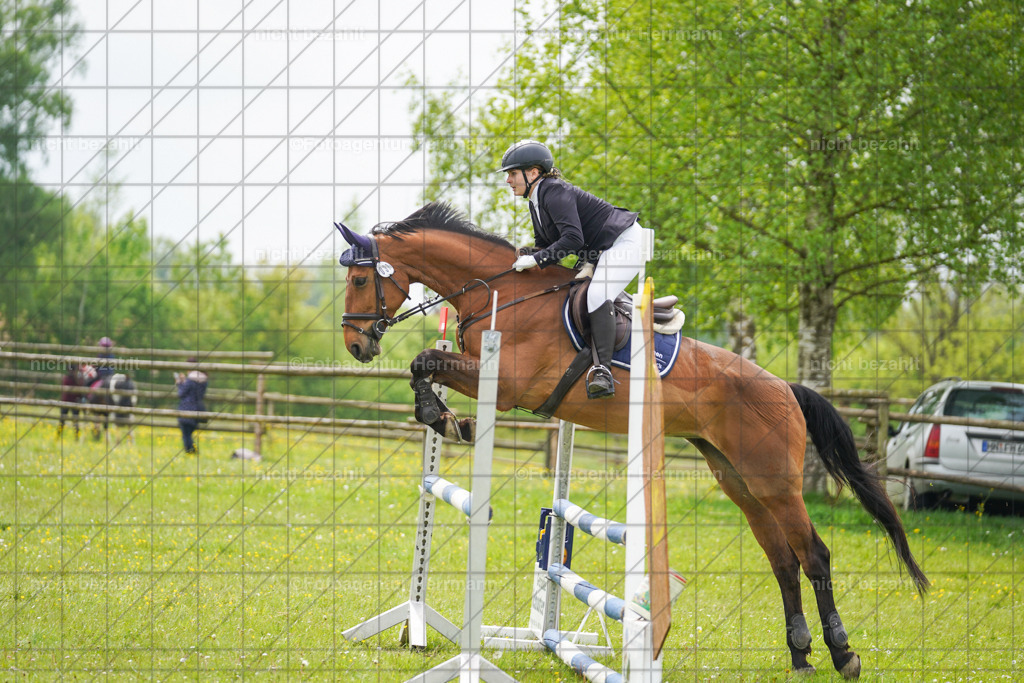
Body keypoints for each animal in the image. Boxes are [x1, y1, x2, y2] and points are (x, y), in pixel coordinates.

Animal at [336, 202, 928, 679]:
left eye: (362, 281)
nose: (356, 345)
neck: (502, 293)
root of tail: (785, 386)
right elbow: (423, 364)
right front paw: (442, 419)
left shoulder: (504, 385)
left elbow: (424, 360)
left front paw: (446, 420)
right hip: (737, 479)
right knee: (783, 560)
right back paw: (801, 655)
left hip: (775, 481)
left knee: (814, 556)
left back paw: (843, 654)